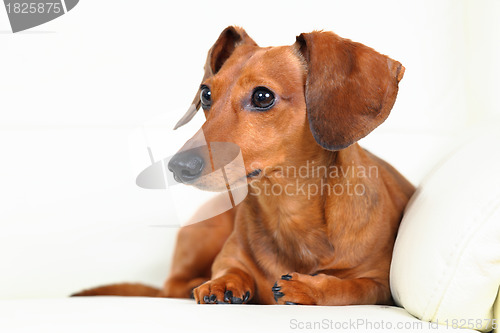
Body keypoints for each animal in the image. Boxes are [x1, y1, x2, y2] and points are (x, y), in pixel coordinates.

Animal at [74, 27, 416, 304]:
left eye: (263, 96)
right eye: (206, 93)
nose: (178, 167)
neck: (287, 210)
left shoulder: (379, 284)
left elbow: (350, 287)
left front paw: (309, 287)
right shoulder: (228, 255)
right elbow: (229, 267)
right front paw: (224, 282)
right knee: (173, 285)